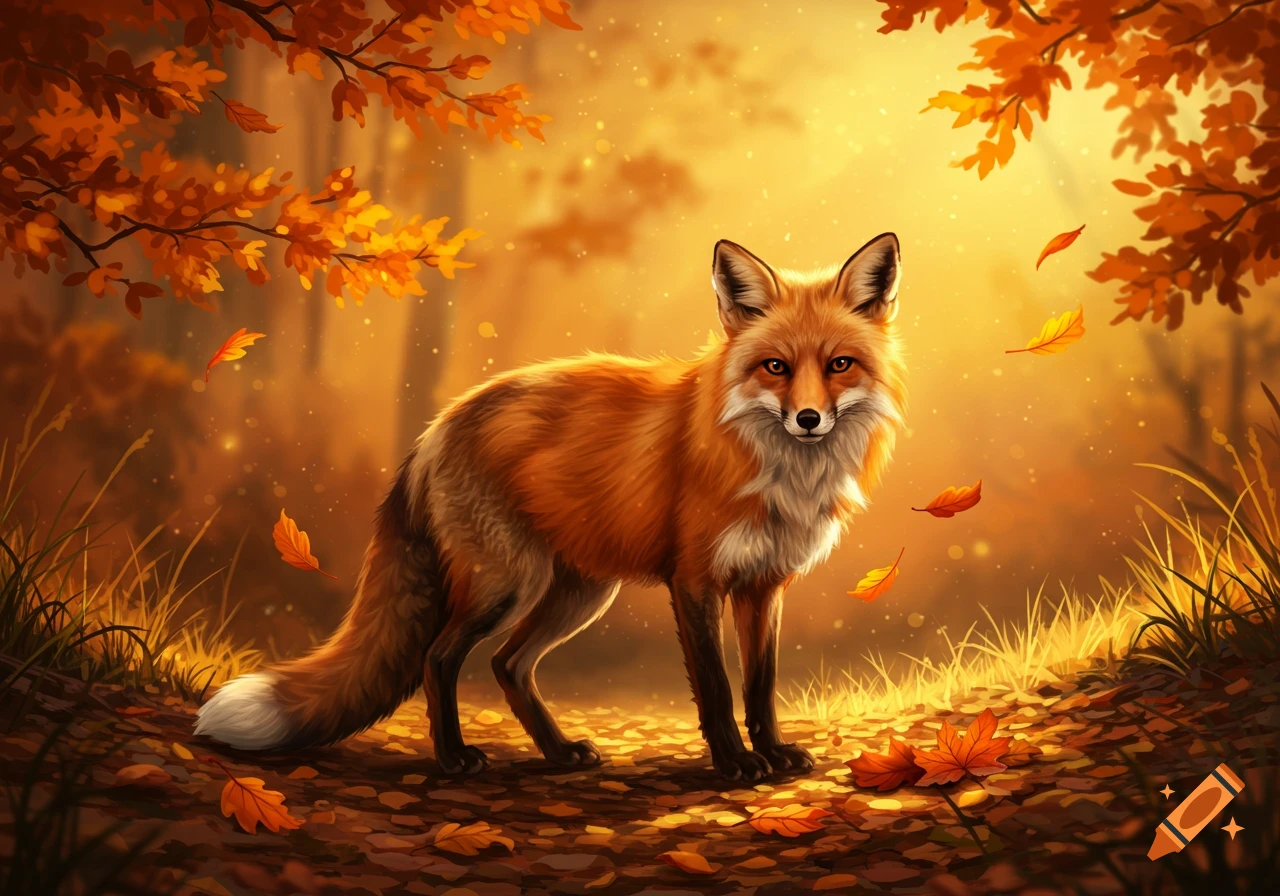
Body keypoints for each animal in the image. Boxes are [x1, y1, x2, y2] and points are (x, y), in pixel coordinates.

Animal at [195, 233, 908, 781]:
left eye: (840, 364)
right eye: (775, 367)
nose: (809, 419)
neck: (777, 471)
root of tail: (436, 428)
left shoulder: (763, 586)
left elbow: (760, 685)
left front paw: (773, 753)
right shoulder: (696, 581)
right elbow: (715, 686)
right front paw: (733, 764)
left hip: (578, 592)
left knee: (508, 665)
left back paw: (559, 753)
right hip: (507, 584)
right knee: (441, 658)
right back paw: (454, 760)